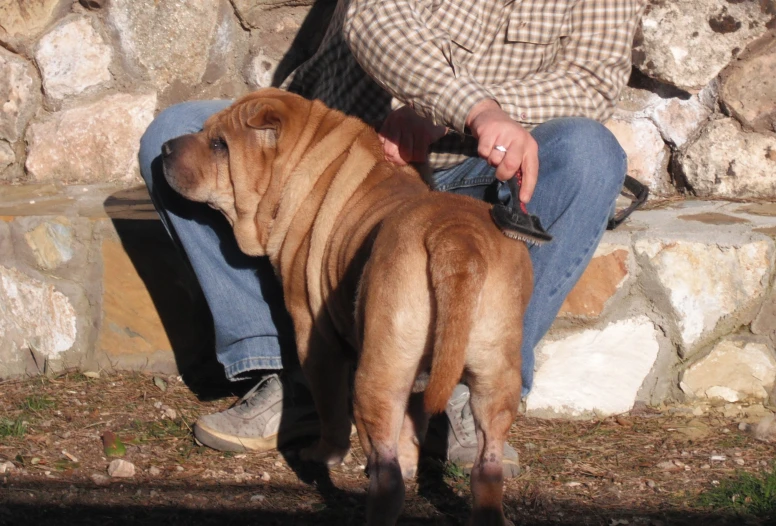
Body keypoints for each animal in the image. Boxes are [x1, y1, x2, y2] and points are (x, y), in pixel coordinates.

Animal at [164, 88, 532, 524]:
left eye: (220, 145)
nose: (165, 148)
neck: (308, 154)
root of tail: (456, 236)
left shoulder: (314, 336)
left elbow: (330, 410)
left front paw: (323, 454)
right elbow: (411, 424)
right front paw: (411, 457)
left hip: (377, 375)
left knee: (387, 478)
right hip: (494, 377)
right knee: (485, 466)